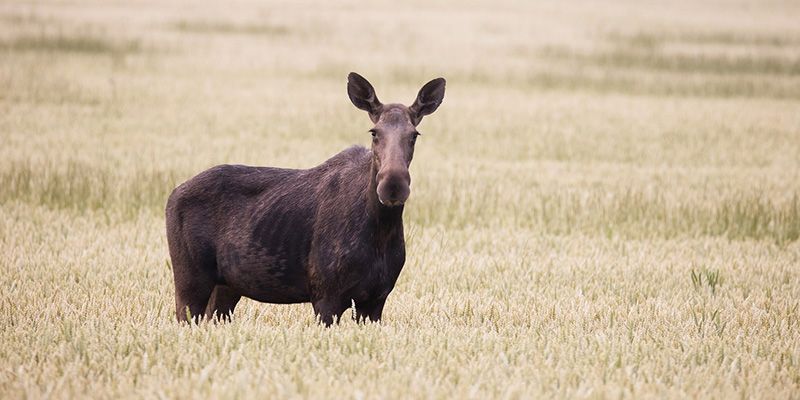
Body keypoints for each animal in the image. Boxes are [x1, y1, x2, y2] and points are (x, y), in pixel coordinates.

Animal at [166, 73, 446, 326]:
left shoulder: (376, 300)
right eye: (374, 132)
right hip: (189, 280)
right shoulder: (325, 295)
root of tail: (172, 194)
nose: (392, 186)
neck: (381, 230)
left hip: (227, 286)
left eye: (414, 134)